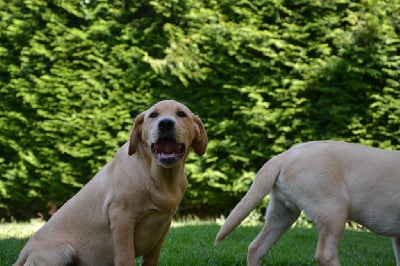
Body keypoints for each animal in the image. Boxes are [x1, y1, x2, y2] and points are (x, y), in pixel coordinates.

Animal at [14, 100, 208, 266]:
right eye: (153, 115)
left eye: (181, 114)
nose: (165, 123)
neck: (159, 176)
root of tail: (22, 255)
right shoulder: (121, 217)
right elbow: (125, 257)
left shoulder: (163, 224)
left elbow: (151, 259)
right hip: (62, 251)